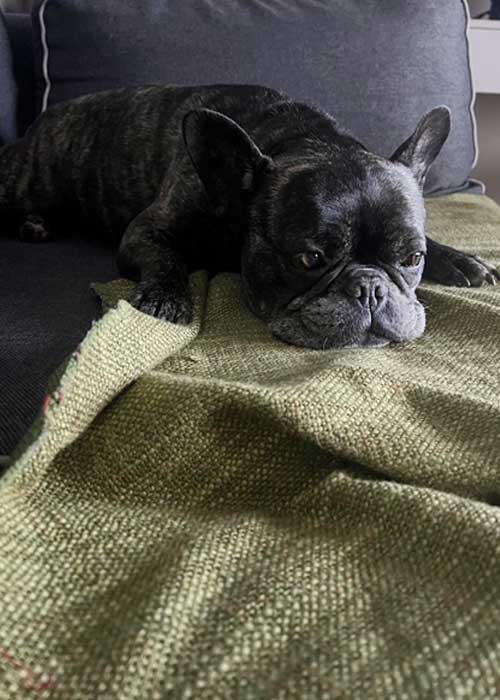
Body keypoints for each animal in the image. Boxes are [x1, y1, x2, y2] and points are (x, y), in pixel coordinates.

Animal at [0, 85, 496, 350]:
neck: (304, 139)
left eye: (413, 258)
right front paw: (165, 296)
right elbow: (165, 257)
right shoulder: (147, 229)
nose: (371, 288)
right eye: (309, 259)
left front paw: (461, 260)